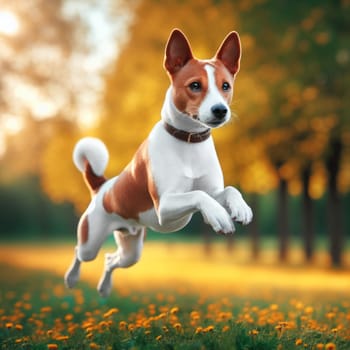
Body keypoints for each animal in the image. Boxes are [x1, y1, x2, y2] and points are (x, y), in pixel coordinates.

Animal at [65, 28, 252, 296]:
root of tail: (102, 187)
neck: (188, 142)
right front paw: (219, 215)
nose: (220, 110)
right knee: (79, 253)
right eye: (195, 85)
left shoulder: (214, 191)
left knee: (110, 260)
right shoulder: (164, 205)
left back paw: (104, 287)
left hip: (132, 250)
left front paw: (240, 207)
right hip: (91, 240)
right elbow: (198, 195)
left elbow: (228, 190)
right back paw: (71, 278)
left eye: (225, 86)